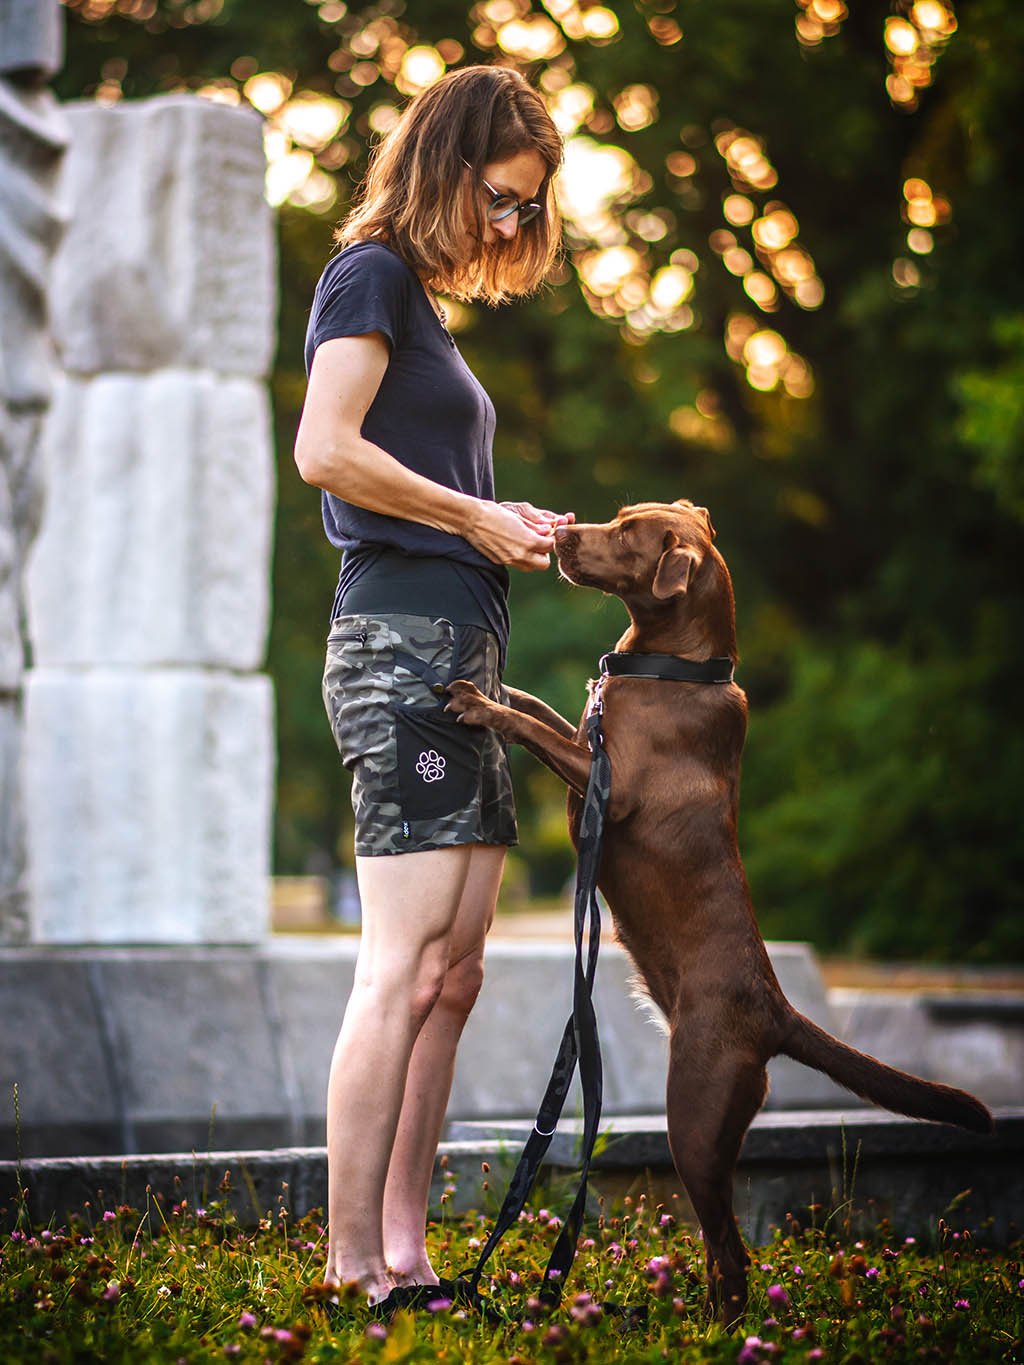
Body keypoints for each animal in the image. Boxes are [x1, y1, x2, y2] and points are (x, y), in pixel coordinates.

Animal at [447, 499, 993, 1321]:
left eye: (625, 533)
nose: (563, 532)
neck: (672, 667)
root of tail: (777, 1010)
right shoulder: (586, 740)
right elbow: (544, 708)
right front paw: (500, 684)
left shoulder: (608, 785)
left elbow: (534, 728)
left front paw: (479, 701)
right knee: (716, 1253)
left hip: (695, 1120)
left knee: (732, 1252)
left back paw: (713, 1331)